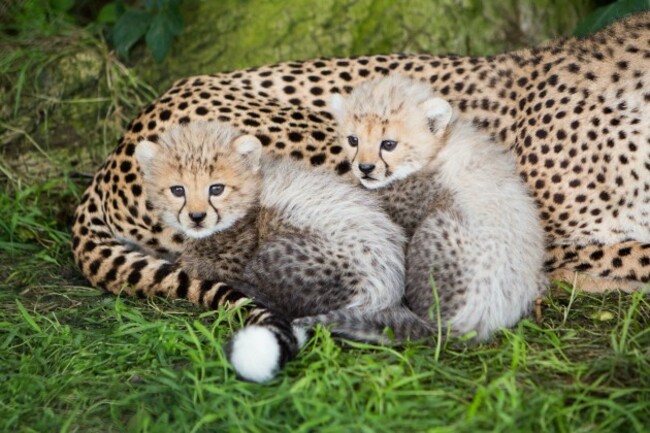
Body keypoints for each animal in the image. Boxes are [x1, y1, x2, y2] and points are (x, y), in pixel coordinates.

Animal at [134, 120, 402, 380]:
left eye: (216, 189)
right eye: (178, 190)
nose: (197, 217)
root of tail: (387, 290)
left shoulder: (232, 261)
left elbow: (195, 265)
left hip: (275, 256)